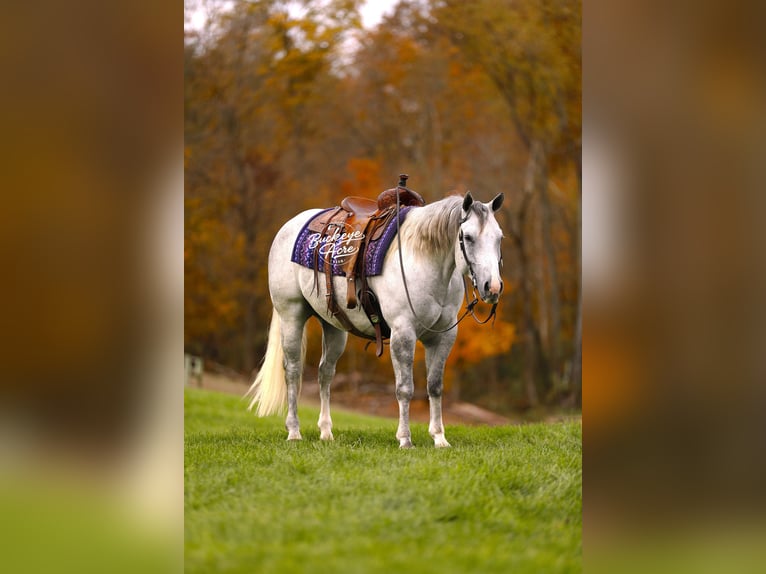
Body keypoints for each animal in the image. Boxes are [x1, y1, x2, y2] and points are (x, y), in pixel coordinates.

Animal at [245, 191, 505, 448]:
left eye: (499, 238)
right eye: (468, 237)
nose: (492, 287)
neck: (424, 260)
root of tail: (290, 225)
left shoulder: (443, 337)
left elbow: (435, 386)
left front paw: (439, 438)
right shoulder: (403, 333)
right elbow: (404, 389)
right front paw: (405, 438)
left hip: (333, 326)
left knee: (325, 373)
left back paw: (326, 431)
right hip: (291, 315)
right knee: (293, 370)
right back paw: (294, 431)